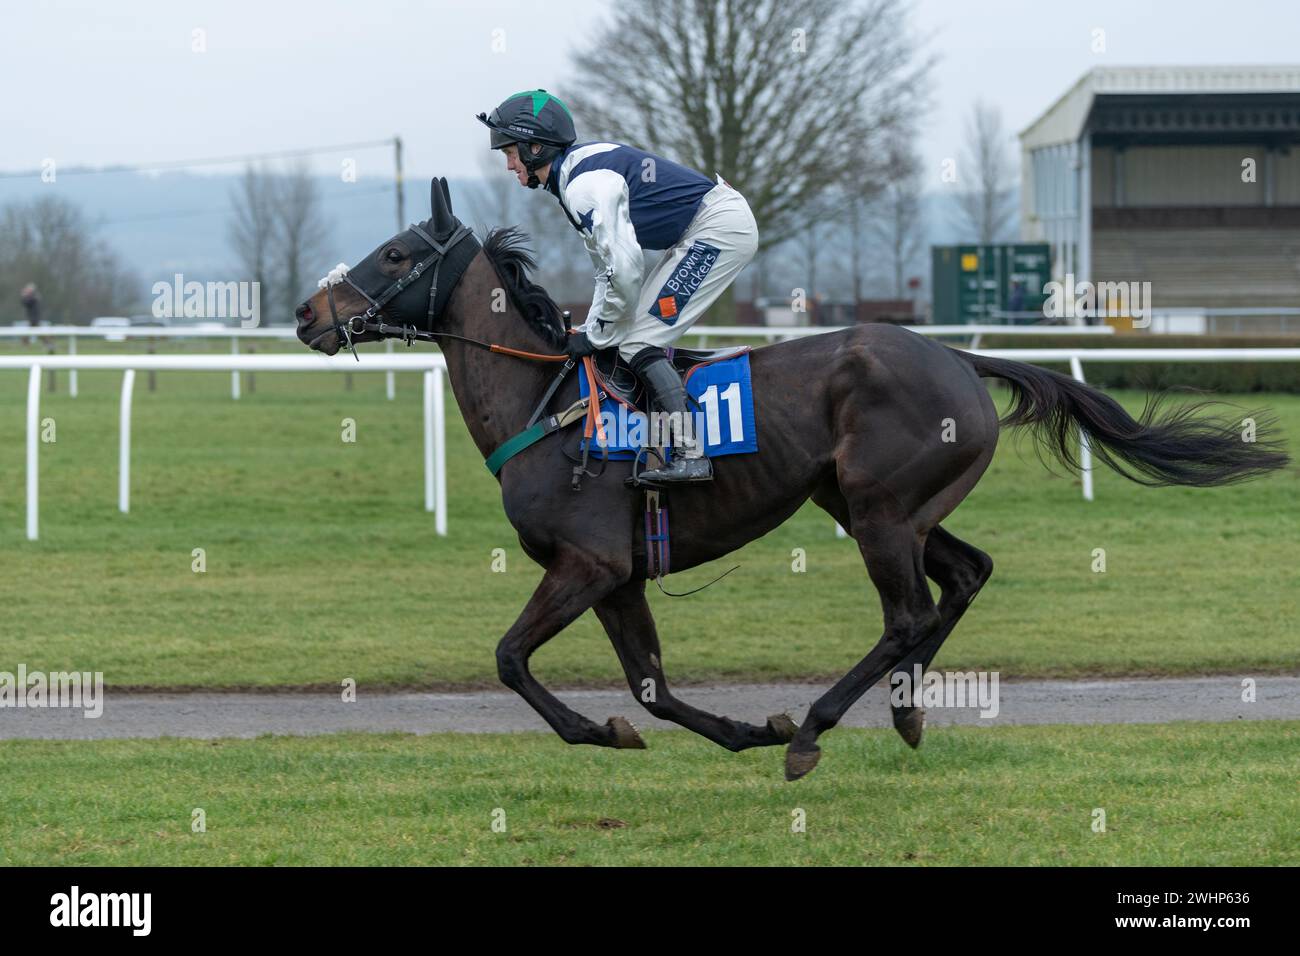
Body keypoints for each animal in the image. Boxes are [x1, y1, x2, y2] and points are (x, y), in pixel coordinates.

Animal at [297, 180, 1289, 785]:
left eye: (395, 254)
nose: (309, 312)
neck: (548, 404)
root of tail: (955, 355)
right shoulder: (618, 576)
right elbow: (652, 689)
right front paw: (731, 730)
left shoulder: (586, 564)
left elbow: (510, 658)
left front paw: (612, 732)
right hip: (874, 504)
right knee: (963, 578)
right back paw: (901, 712)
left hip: (882, 510)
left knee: (908, 614)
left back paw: (818, 727)